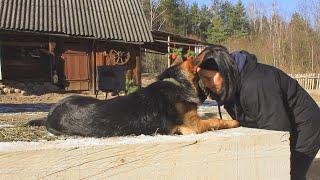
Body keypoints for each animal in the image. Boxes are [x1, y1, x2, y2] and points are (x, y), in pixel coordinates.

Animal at [28, 52, 238, 136]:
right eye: (205, 77)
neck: (177, 82)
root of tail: (50, 114)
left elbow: (212, 118)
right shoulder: (193, 125)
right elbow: (216, 121)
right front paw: (233, 121)